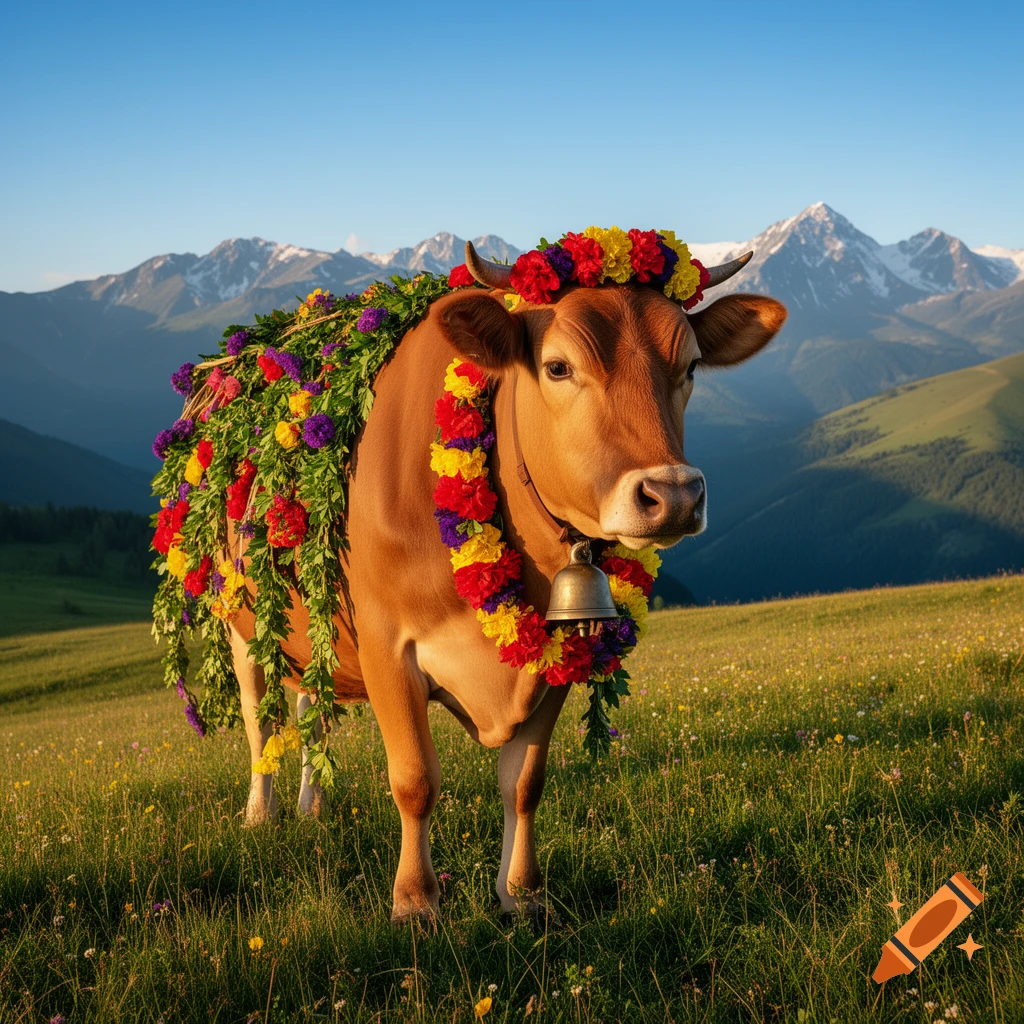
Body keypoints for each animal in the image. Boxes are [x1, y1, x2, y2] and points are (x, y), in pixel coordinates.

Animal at [226, 242, 787, 925]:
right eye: (557, 367)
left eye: (692, 366)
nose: (674, 495)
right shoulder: (386, 645)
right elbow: (414, 779)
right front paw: (415, 902)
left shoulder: (559, 647)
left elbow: (524, 782)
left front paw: (522, 894)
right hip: (242, 625)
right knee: (260, 720)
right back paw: (262, 814)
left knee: (312, 705)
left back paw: (313, 807)